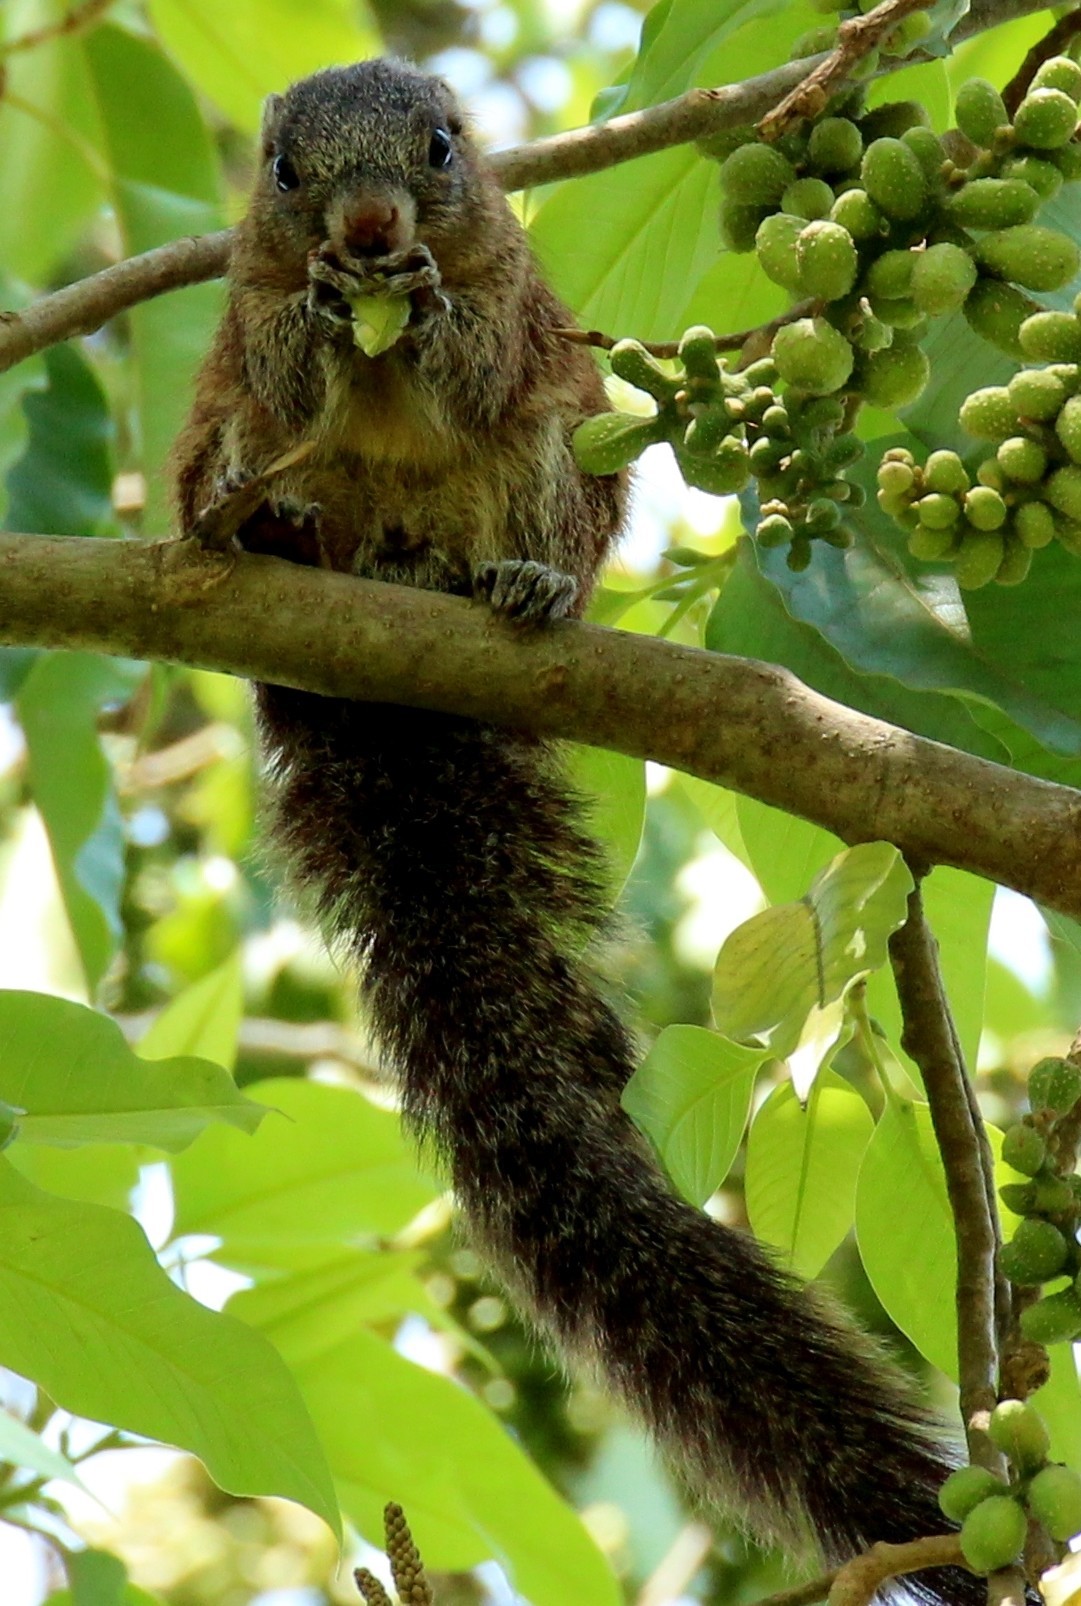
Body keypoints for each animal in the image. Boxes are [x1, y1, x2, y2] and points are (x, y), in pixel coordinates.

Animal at [172, 59, 983, 1606]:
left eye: (439, 147)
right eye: (286, 172)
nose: (369, 227)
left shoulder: (528, 318)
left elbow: (482, 359)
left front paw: (424, 310)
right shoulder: (238, 321)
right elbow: (278, 356)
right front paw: (327, 314)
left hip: (559, 452)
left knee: (525, 486)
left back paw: (511, 581)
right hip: (213, 463)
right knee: (231, 486)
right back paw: (285, 533)